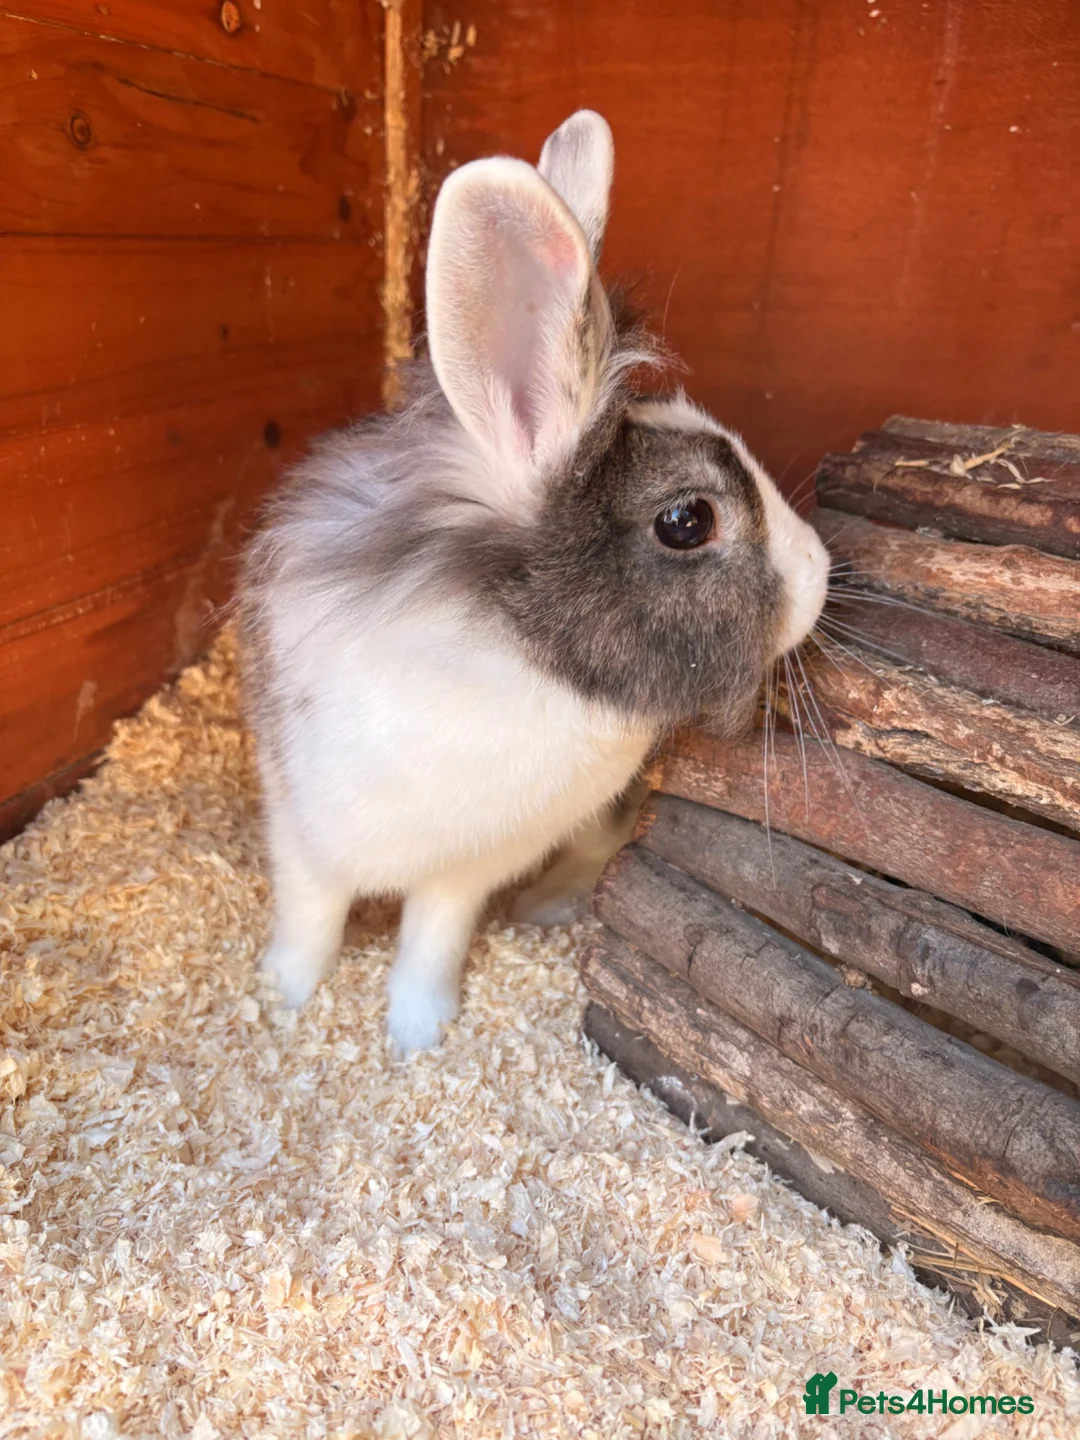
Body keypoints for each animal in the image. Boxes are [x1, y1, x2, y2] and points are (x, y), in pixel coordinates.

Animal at [238, 110, 829, 1053]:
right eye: (687, 520)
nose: (821, 571)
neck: (516, 652)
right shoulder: (302, 828)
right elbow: (309, 921)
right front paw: (281, 998)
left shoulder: (464, 870)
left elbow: (431, 940)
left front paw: (417, 1035)